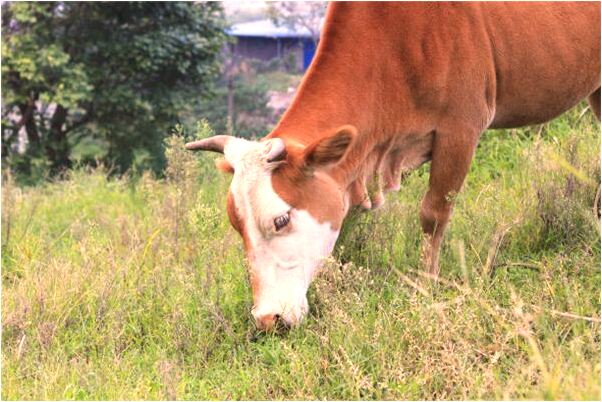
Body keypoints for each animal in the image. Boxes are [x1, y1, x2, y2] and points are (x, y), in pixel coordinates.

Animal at [185, 2, 596, 330]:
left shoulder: (460, 129)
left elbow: (433, 215)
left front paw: (427, 288)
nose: (268, 318)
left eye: (281, 219)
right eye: (237, 225)